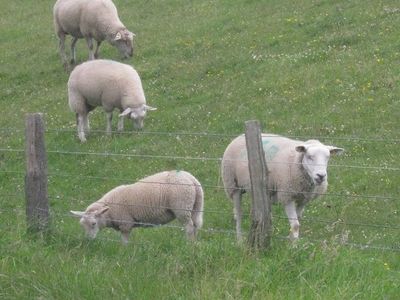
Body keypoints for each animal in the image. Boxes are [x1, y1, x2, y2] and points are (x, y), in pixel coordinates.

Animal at [69, 169, 203, 244]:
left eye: (93, 223)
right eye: (82, 225)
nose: (88, 240)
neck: (109, 212)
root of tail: (191, 179)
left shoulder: (125, 224)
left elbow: (124, 241)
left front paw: (124, 252)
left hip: (182, 207)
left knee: (189, 227)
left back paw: (188, 245)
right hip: (196, 205)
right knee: (195, 226)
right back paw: (194, 244)